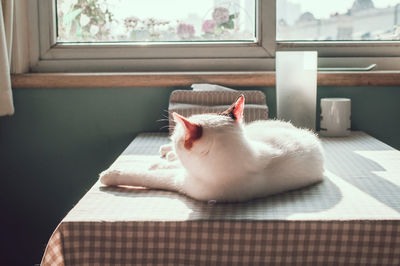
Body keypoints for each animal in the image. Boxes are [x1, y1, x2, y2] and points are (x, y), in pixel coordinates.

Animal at [100, 95, 324, 202]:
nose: (172, 140)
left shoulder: (184, 182)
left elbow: (147, 176)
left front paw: (112, 174)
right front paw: (163, 158)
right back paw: (166, 151)